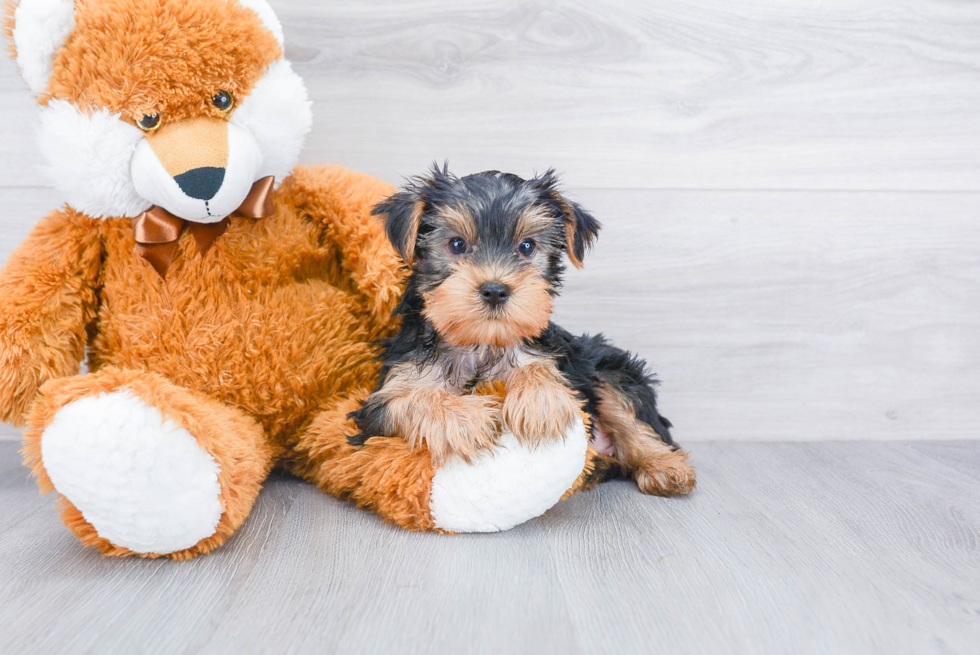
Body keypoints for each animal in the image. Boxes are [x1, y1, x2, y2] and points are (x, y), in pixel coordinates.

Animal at [348, 167, 692, 494]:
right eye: (456, 244)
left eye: (527, 247)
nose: (495, 290)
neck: (481, 343)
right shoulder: (385, 396)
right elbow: (412, 398)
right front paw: (469, 419)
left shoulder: (555, 355)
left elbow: (537, 367)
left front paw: (540, 402)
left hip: (608, 365)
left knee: (632, 414)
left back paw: (666, 468)